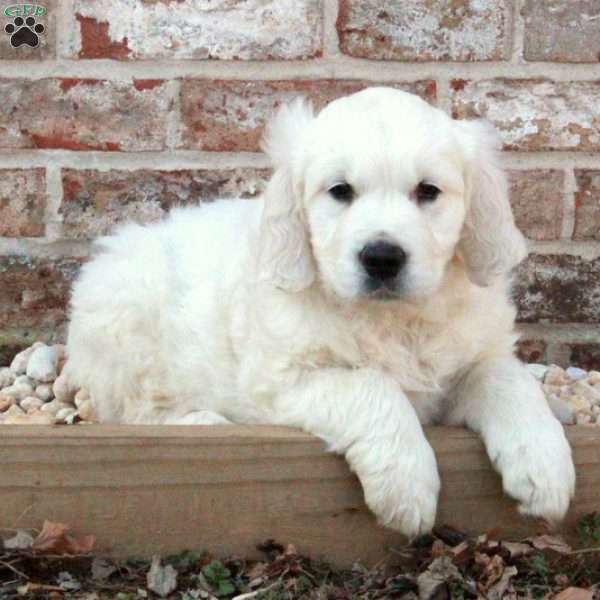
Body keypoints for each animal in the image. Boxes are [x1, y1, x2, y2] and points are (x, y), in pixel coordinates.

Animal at [67, 89, 576, 540]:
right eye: (340, 191)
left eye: (428, 191)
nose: (382, 258)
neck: (392, 320)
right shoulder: (280, 380)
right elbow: (373, 387)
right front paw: (406, 485)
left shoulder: (469, 357)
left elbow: (508, 379)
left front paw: (545, 466)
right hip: (127, 323)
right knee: (135, 412)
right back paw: (205, 422)